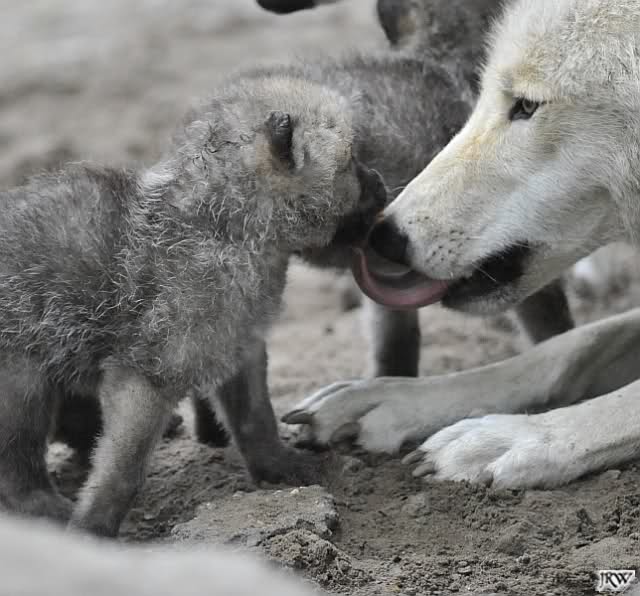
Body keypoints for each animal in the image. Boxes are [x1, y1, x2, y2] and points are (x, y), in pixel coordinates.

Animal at [285, 0, 640, 489]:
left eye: (526, 105)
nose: (385, 237)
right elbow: (566, 348)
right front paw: (388, 397)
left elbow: (627, 399)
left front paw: (516, 438)